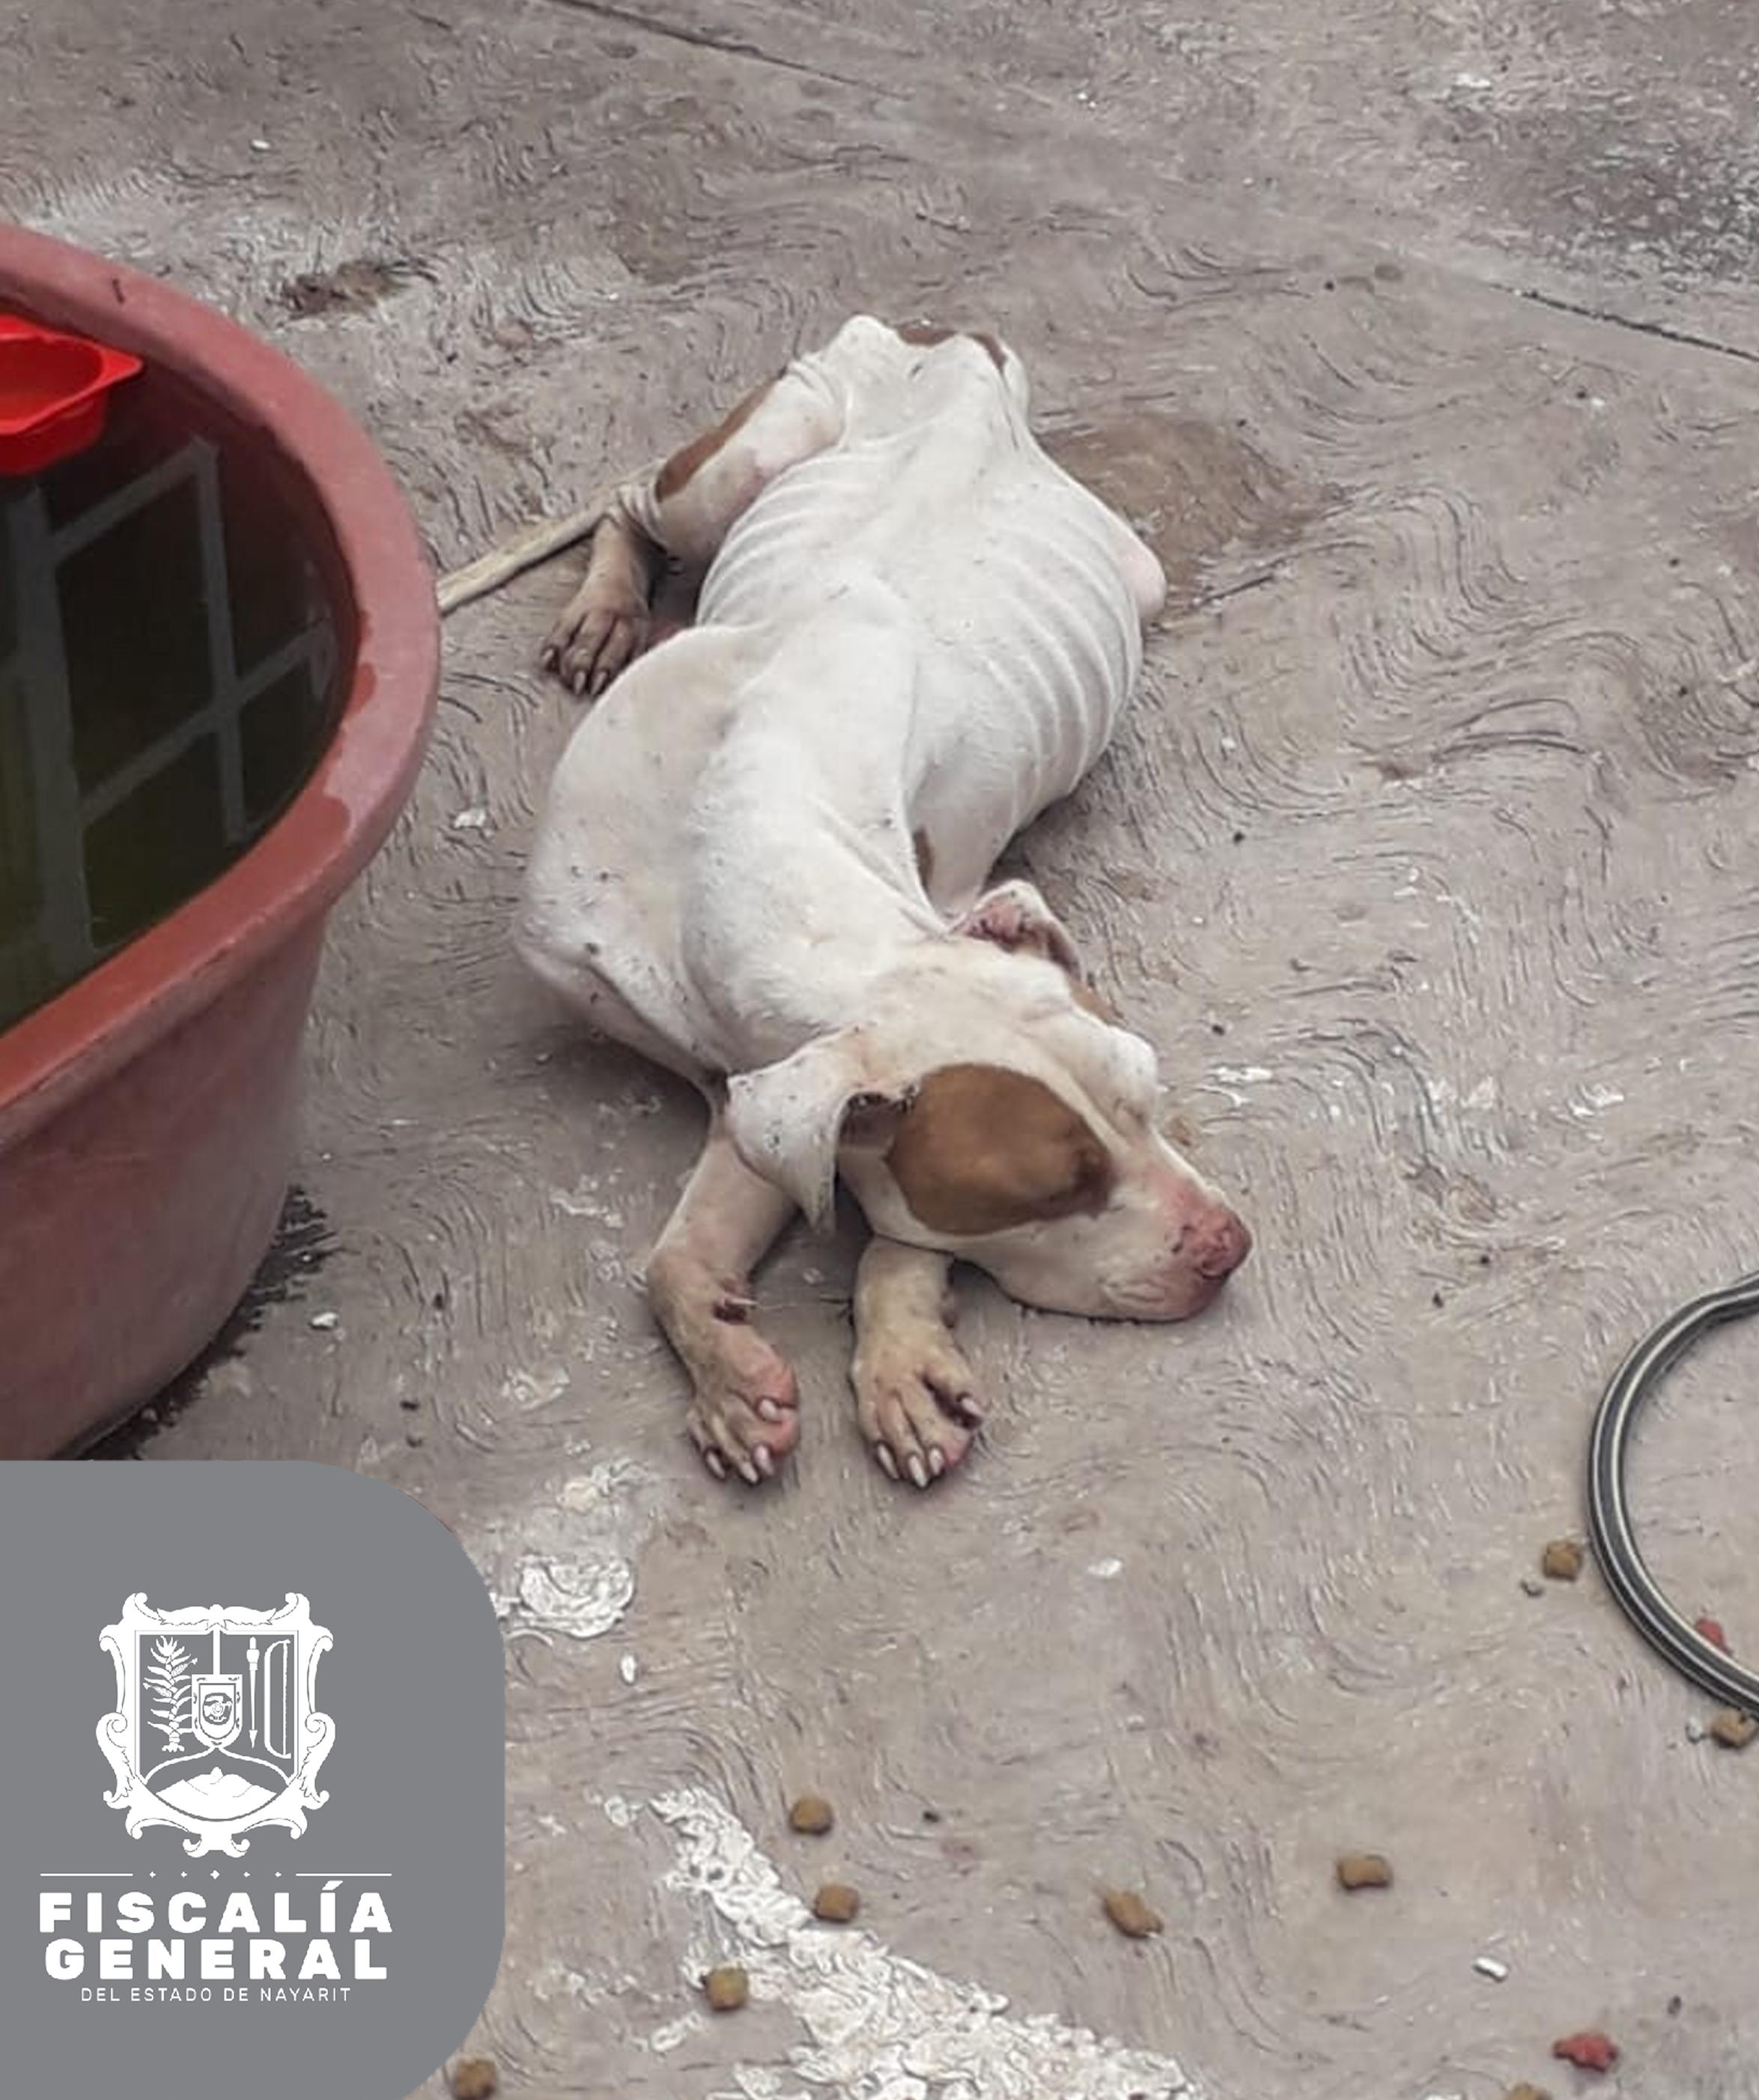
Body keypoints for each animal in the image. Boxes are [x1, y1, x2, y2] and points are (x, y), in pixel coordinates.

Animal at [517, 316, 1250, 1488]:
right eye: (1052, 1187)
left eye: (1148, 1095)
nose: (1229, 1243)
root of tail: (951, 337)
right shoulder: (739, 1075)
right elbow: (672, 1260)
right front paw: (730, 1376)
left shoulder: (774, 1088)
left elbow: (869, 1227)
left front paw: (899, 1347)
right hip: (743, 463)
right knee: (634, 499)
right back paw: (606, 606)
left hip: (1133, 575)